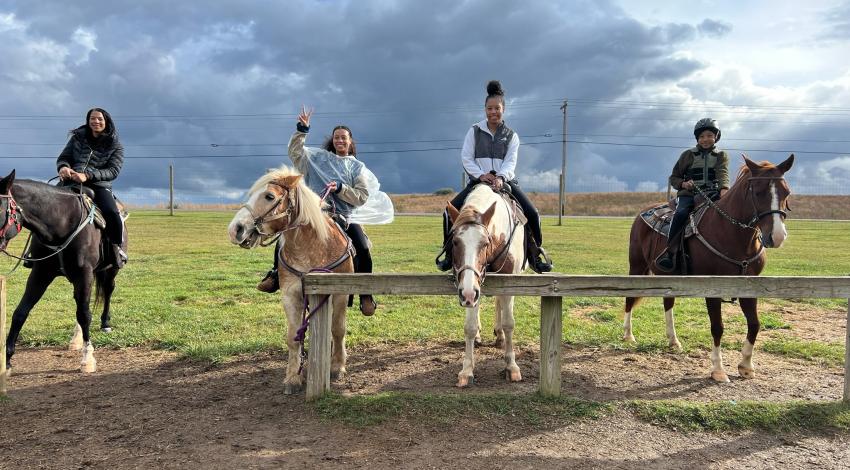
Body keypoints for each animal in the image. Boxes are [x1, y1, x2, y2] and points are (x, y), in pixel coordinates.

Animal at [0, 170, 126, 374]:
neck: (62, 223)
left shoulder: (84, 274)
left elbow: (84, 315)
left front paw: (88, 358)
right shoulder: (41, 273)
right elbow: (21, 312)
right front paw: (7, 359)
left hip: (110, 270)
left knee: (107, 291)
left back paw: (105, 323)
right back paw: (77, 338)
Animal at [225, 165, 352, 392]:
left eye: (269, 196)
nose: (235, 229)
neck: (312, 249)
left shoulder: (339, 294)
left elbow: (338, 329)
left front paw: (337, 367)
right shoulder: (291, 295)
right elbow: (294, 337)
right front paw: (293, 377)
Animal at [444, 182, 524, 388]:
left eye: (485, 242)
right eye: (455, 242)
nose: (468, 294)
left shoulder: (509, 283)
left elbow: (509, 323)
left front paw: (511, 366)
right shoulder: (470, 287)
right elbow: (470, 327)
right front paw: (467, 370)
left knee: (499, 305)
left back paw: (500, 336)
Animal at [624, 154, 796, 382]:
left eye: (786, 192)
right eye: (758, 192)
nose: (777, 236)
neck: (731, 234)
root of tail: (643, 213)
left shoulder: (749, 287)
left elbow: (754, 324)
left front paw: (746, 366)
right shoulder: (712, 289)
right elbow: (717, 327)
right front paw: (718, 369)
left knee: (668, 302)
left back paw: (673, 340)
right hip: (636, 265)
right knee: (629, 298)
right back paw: (628, 335)